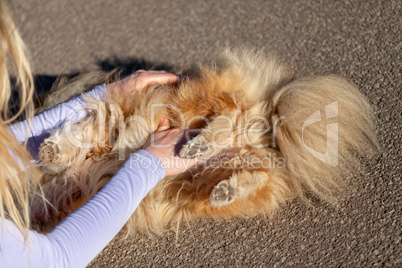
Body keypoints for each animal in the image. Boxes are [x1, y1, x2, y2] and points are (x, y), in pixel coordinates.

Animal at [30, 48, 376, 234]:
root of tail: (264, 132)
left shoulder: (118, 111)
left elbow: (84, 132)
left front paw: (53, 150)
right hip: (202, 182)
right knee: (253, 174)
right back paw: (224, 186)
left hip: (189, 99)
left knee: (231, 108)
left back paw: (201, 143)